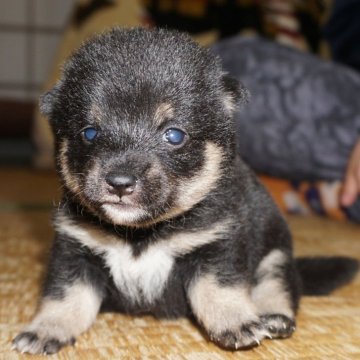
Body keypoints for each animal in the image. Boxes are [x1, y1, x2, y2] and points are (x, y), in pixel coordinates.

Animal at [11, 28, 358, 354]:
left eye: (174, 135)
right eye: (90, 133)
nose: (120, 182)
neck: (140, 235)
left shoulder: (216, 247)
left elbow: (219, 289)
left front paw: (237, 322)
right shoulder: (75, 251)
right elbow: (64, 298)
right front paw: (46, 330)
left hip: (276, 257)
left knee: (279, 286)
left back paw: (273, 317)